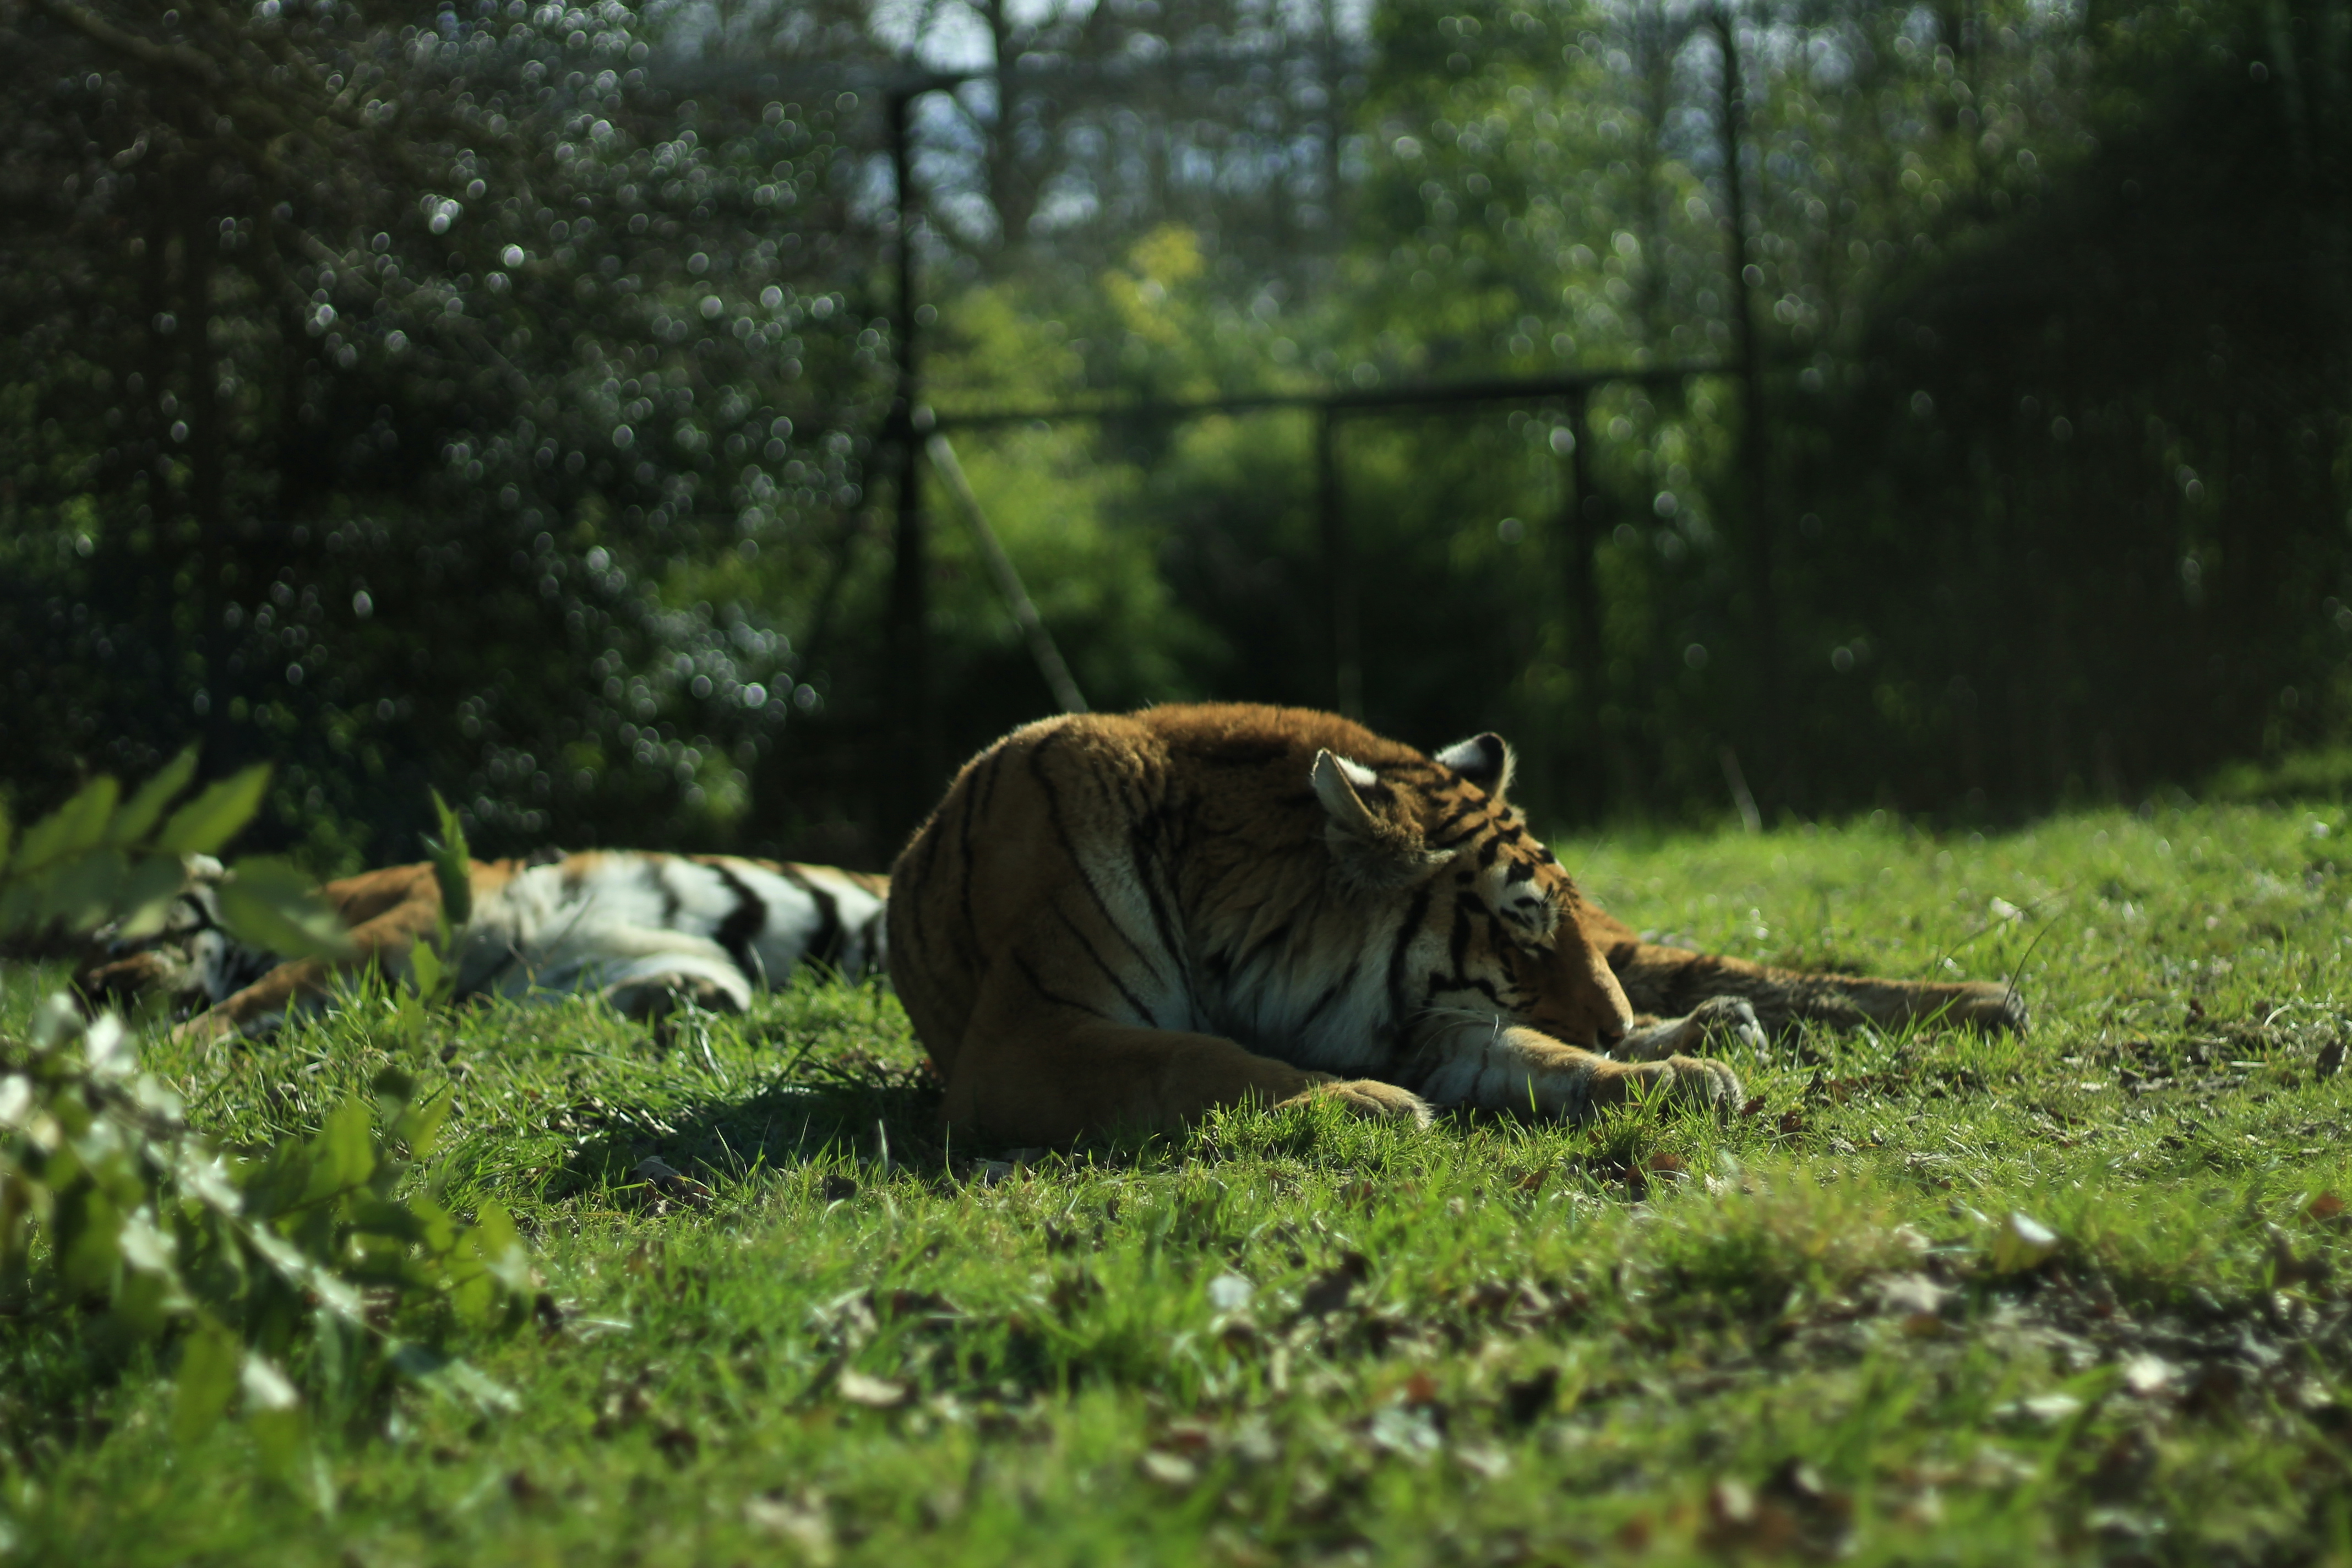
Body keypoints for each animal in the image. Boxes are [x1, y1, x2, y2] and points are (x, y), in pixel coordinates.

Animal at [887, 703, 2024, 1147]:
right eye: (1519, 930)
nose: (1613, 1027)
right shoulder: (1025, 1037)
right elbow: (1189, 1057)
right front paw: (1364, 1103)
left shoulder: (1447, 1022)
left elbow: (1546, 1055)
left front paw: (1667, 1074)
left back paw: (1985, 1002)